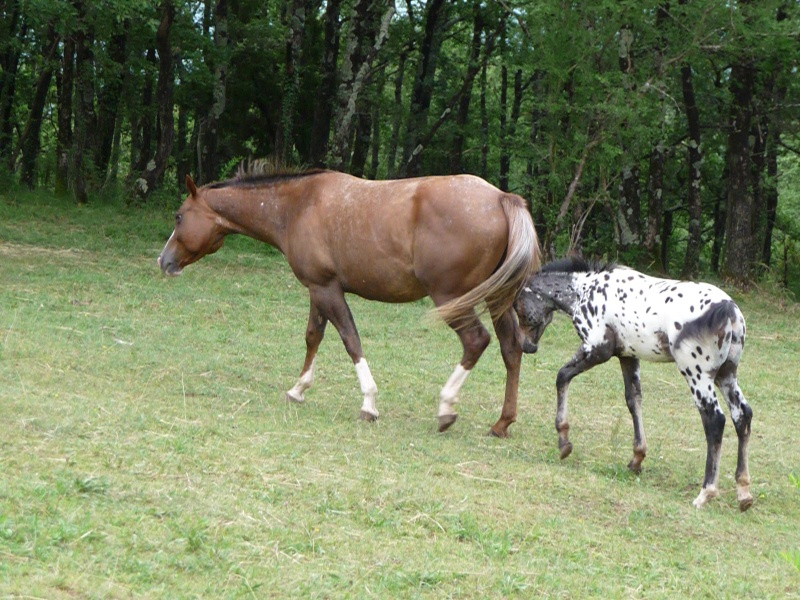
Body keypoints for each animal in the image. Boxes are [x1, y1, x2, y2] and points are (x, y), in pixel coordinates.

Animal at [157, 170, 540, 436]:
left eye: (179, 216)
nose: (164, 260)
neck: (298, 206)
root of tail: (501, 198)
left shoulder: (326, 290)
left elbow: (350, 340)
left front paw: (368, 402)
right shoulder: (318, 289)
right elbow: (314, 336)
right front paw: (299, 388)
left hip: (453, 299)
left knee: (476, 341)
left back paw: (446, 408)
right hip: (497, 299)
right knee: (510, 348)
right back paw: (502, 423)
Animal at [516, 258, 752, 510]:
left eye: (518, 308)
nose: (526, 346)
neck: (584, 289)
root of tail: (729, 310)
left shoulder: (597, 349)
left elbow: (562, 376)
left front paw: (564, 444)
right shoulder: (627, 356)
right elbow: (633, 399)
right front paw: (637, 459)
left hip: (697, 374)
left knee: (715, 420)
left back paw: (706, 492)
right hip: (726, 375)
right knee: (742, 415)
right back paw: (744, 493)